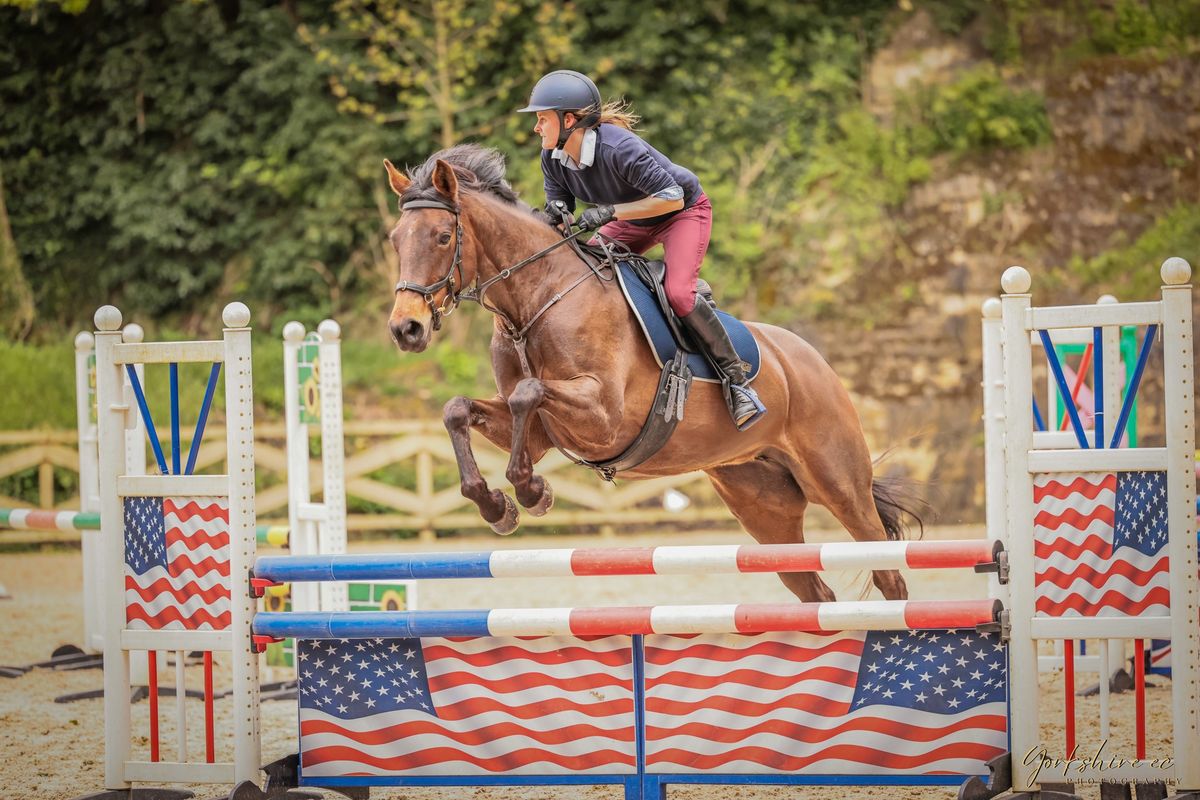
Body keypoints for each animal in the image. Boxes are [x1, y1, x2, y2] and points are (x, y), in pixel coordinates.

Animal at [384, 145, 916, 606]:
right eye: (395, 240)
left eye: (443, 237)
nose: (405, 329)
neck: (538, 299)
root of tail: (813, 361)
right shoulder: (539, 434)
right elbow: (459, 409)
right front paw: (497, 506)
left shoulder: (603, 417)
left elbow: (527, 394)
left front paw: (533, 494)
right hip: (762, 505)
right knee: (813, 591)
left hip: (839, 484)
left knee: (887, 573)